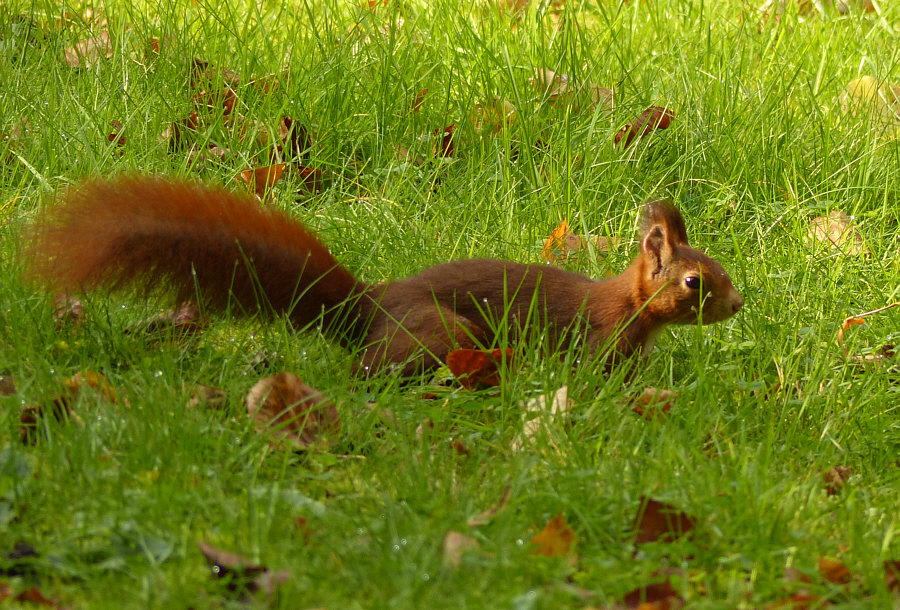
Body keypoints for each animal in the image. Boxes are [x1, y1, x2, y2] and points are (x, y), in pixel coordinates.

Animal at [26, 175, 743, 377]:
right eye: (693, 282)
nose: (738, 305)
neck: (629, 306)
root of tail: (368, 309)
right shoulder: (595, 338)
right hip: (442, 333)